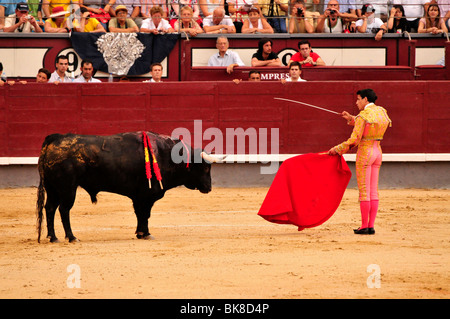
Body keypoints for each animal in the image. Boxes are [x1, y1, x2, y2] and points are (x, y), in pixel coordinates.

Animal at [35, 131, 220, 244]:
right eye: (205, 168)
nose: (208, 187)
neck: (166, 154)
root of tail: (54, 139)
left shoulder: (138, 197)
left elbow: (140, 214)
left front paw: (140, 233)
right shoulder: (146, 196)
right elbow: (145, 214)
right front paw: (145, 234)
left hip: (53, 189)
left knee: (49, 208)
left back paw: (53, 237)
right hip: (67, 189)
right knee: (64, 210)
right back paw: (71, 237)